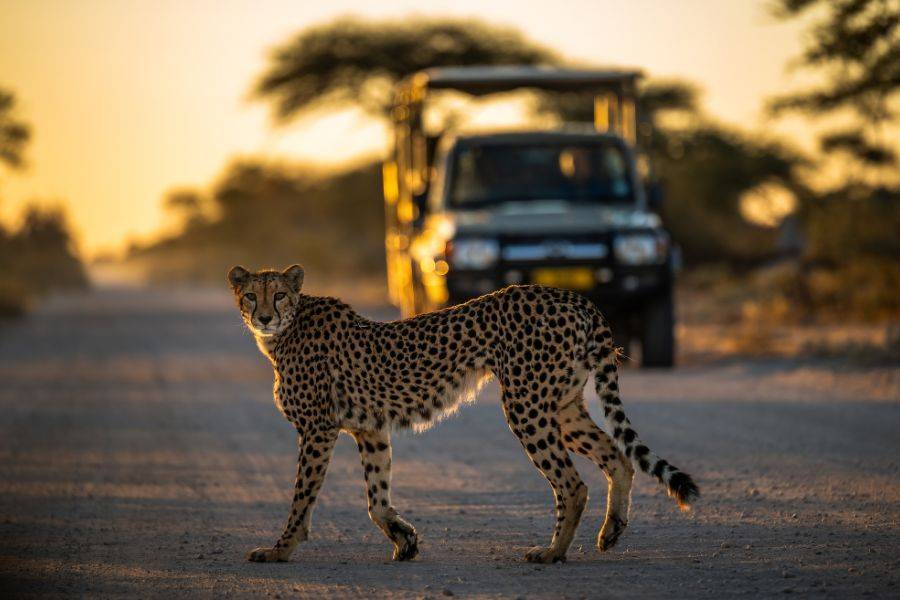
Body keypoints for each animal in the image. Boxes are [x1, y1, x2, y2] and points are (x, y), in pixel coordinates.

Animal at [228, 264, 699, 564]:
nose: (264, 316)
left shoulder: (318, 430)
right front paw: (405, 540)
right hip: (562, 403)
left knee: (572, 482)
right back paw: (611, 529)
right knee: (616, 457)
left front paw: (280, 549)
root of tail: (570, 295)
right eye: (251, 295)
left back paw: (553, 552)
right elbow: (376, 498)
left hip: (526, 406)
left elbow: (302, 496)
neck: (285, 331)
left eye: (279, 294)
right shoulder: (371, 430)